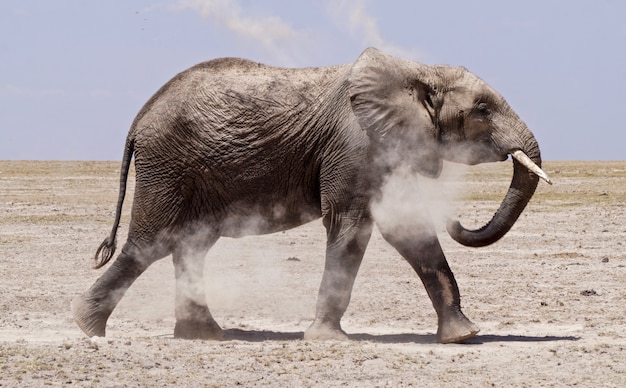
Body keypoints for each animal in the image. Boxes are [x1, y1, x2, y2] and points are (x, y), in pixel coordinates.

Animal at [70, 47, 552, 342]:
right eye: (483, 110)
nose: (456, 218)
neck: (416, 70)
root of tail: (139, 119)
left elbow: (409, 230)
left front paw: (463, 335)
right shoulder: (355, 145)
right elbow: (351, 225)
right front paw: (328, 338)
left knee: (190, 246)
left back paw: (205, 335)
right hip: (167, 166)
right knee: (152, 243)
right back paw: (88, 327)